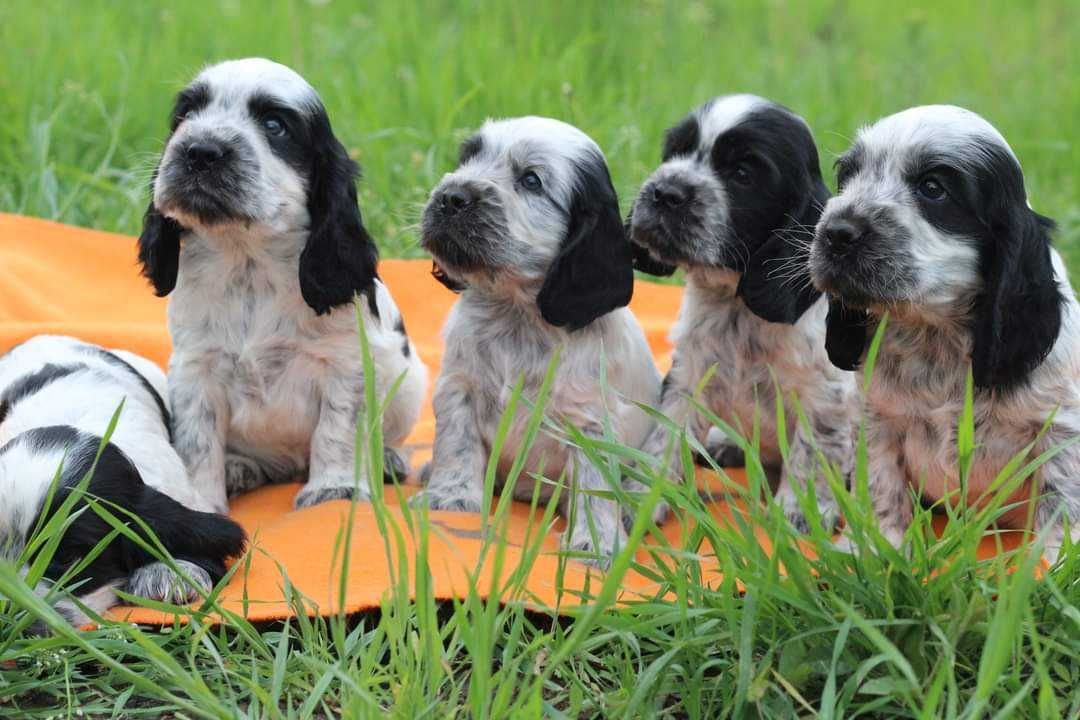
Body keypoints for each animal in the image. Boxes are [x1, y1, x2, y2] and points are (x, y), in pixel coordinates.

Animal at [140, 60, 429, 511]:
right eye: (186, 115)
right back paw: (239, 469)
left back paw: (388, 460)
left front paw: (334, 489)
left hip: (410, 380)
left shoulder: (345, 364)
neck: (249, 264)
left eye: (275, 125)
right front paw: (202, 501)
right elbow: (198, 442)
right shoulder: (195, 368)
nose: (200, 151)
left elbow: (337, 430)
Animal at [416, 115, 660, 561]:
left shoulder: (590, 419)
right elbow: (456, 445)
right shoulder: (459, 388)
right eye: (468, 158)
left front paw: (595, 542)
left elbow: (595, 484)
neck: (517, 314)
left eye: (531, 181)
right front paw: (450, 497)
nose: (451, 197)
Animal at [630, 95, 855, 533]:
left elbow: (811, 450)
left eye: (743, 173)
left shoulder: (824, 392)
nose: (665, 192)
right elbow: (666, 434)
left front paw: (798, 512)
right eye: (675, 152)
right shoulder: (690, 375)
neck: (736, 304)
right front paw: (640, 496)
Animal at [812, 104, 1080, 561]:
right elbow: (882, 484)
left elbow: (1060, 498)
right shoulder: (877, 418)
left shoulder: (1060, 425)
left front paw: (1051, 562)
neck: (935, 333)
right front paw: (881, 547)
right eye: (847, 177)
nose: (836, 233)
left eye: (933, 188)